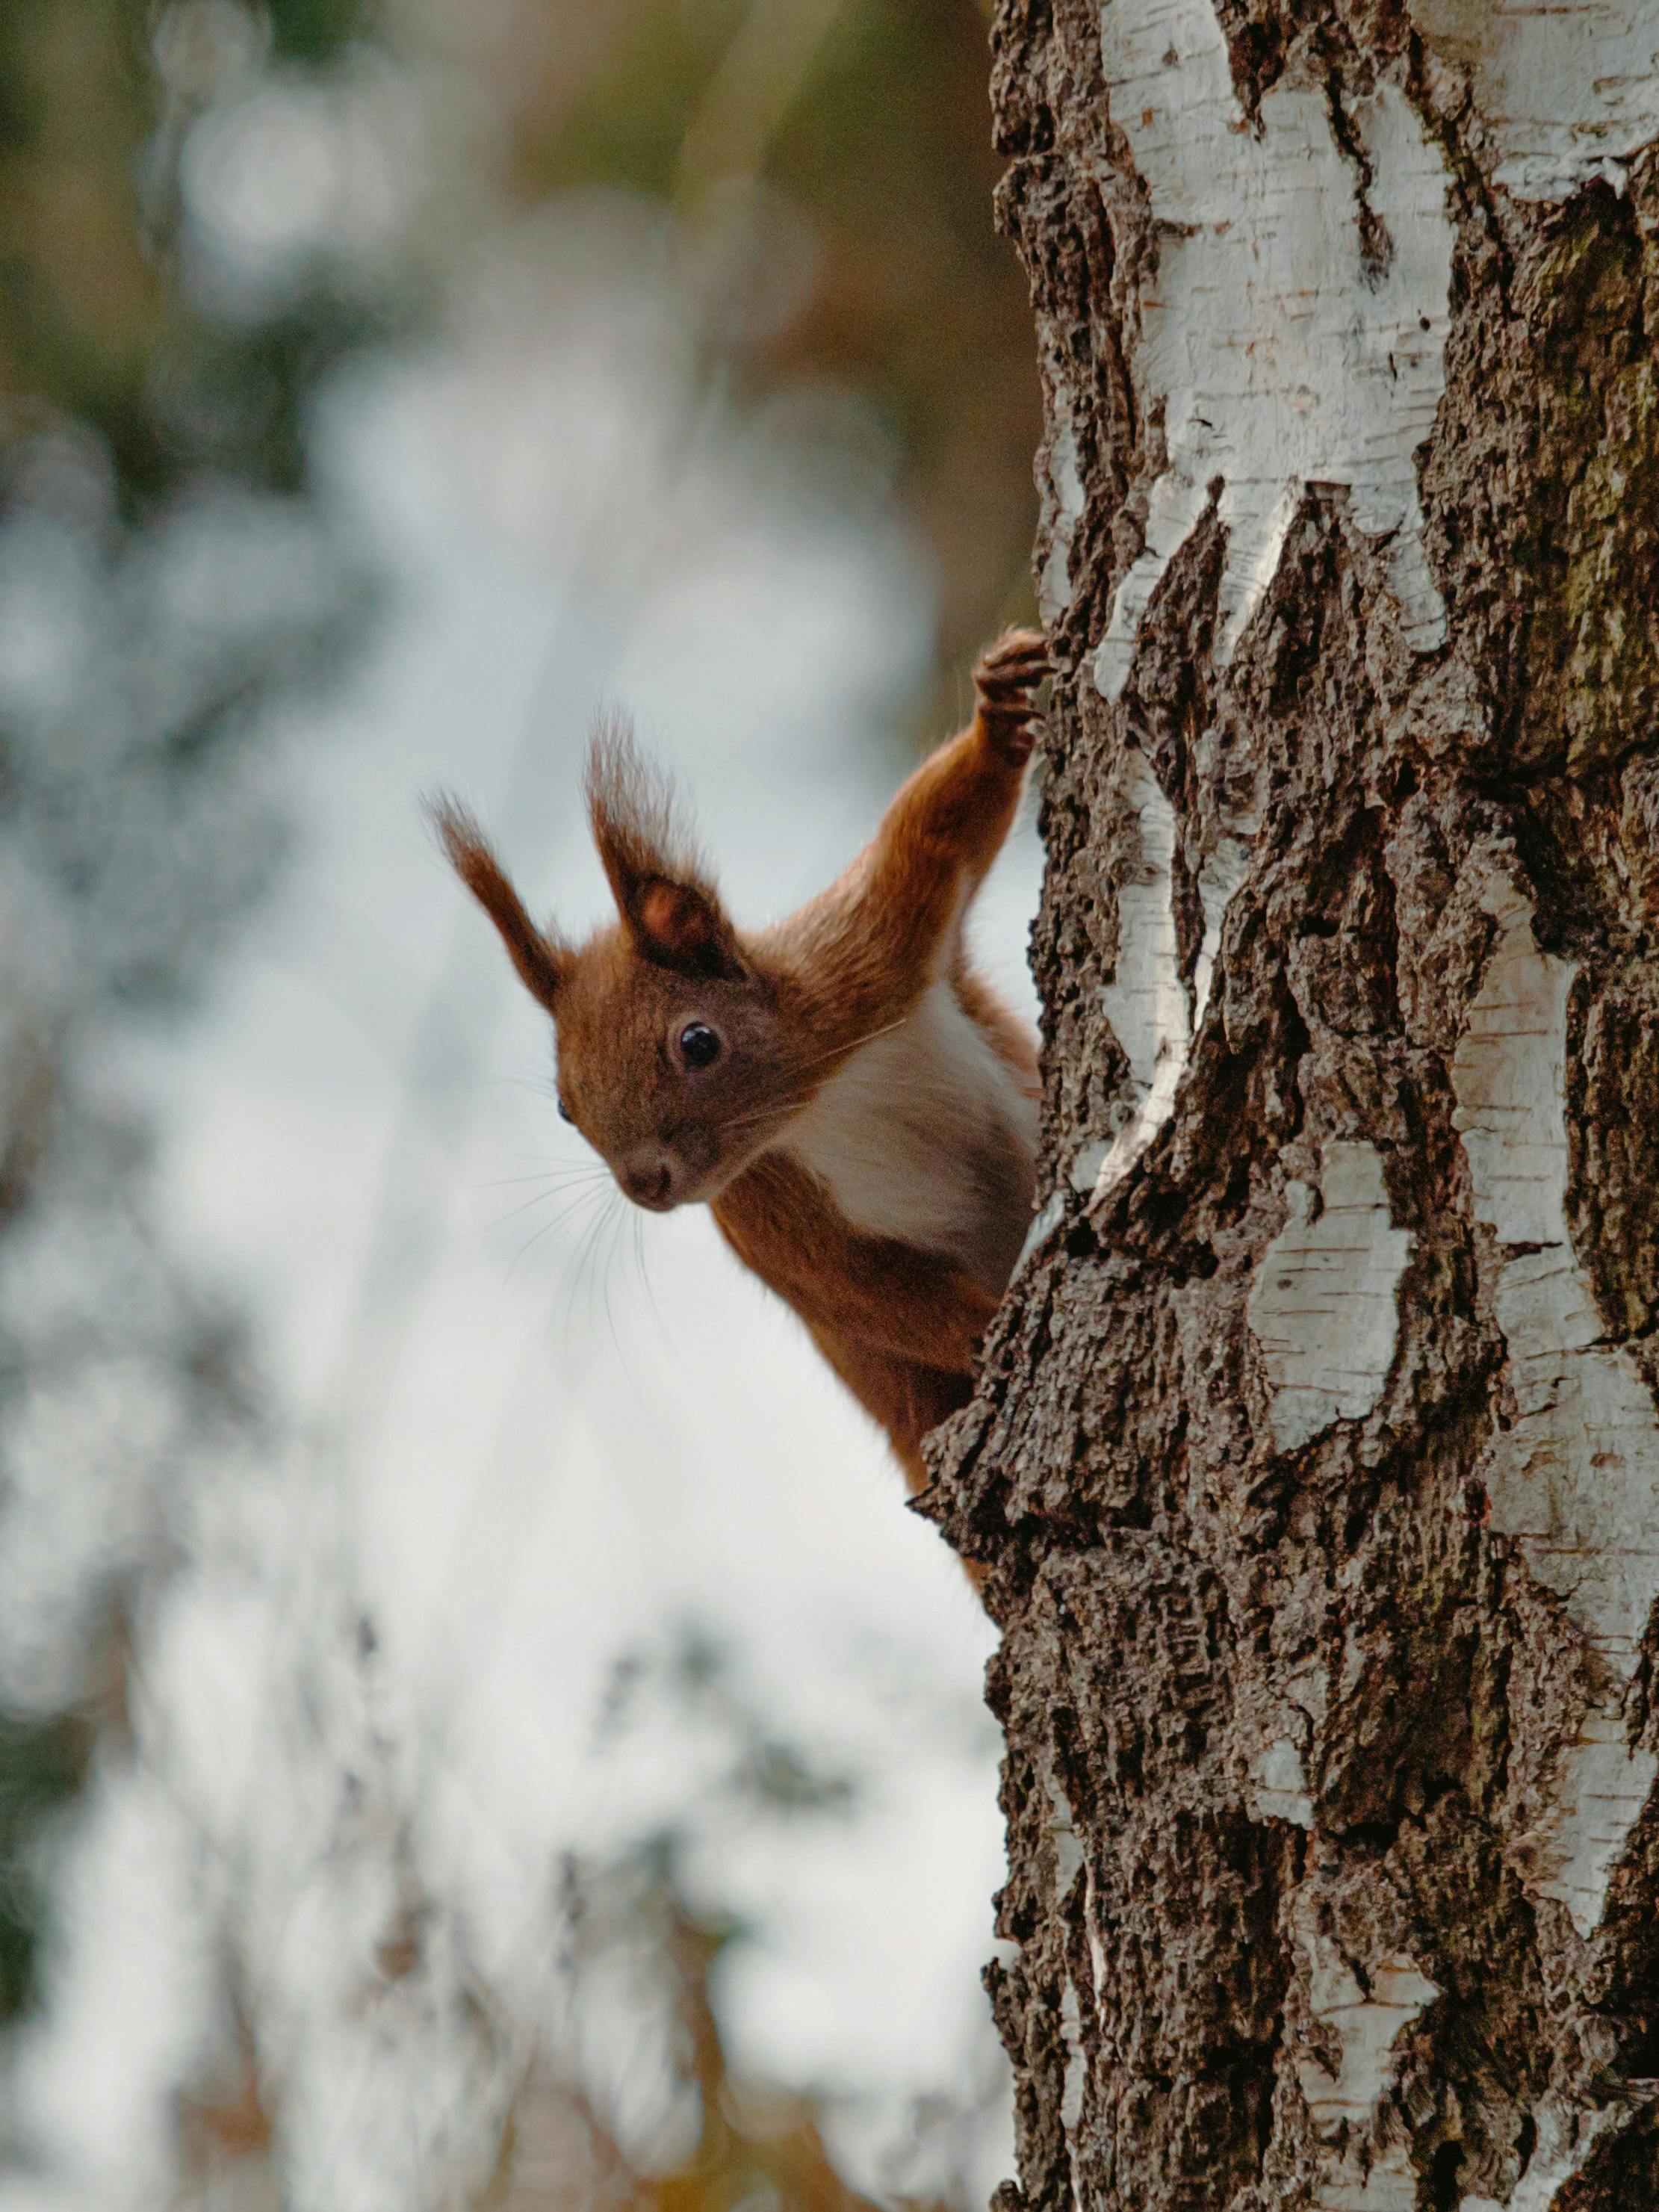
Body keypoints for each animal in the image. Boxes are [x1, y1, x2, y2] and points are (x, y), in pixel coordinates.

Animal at [433, 628, 1047, 1500]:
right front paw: (990, 1328)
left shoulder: (867, 955)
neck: (818, 1098)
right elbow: (863, 1291)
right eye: (563, 1107)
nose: (645, 1184)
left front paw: (1000, 709)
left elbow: (938, 826)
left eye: (698, 1043)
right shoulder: (764, 1212)